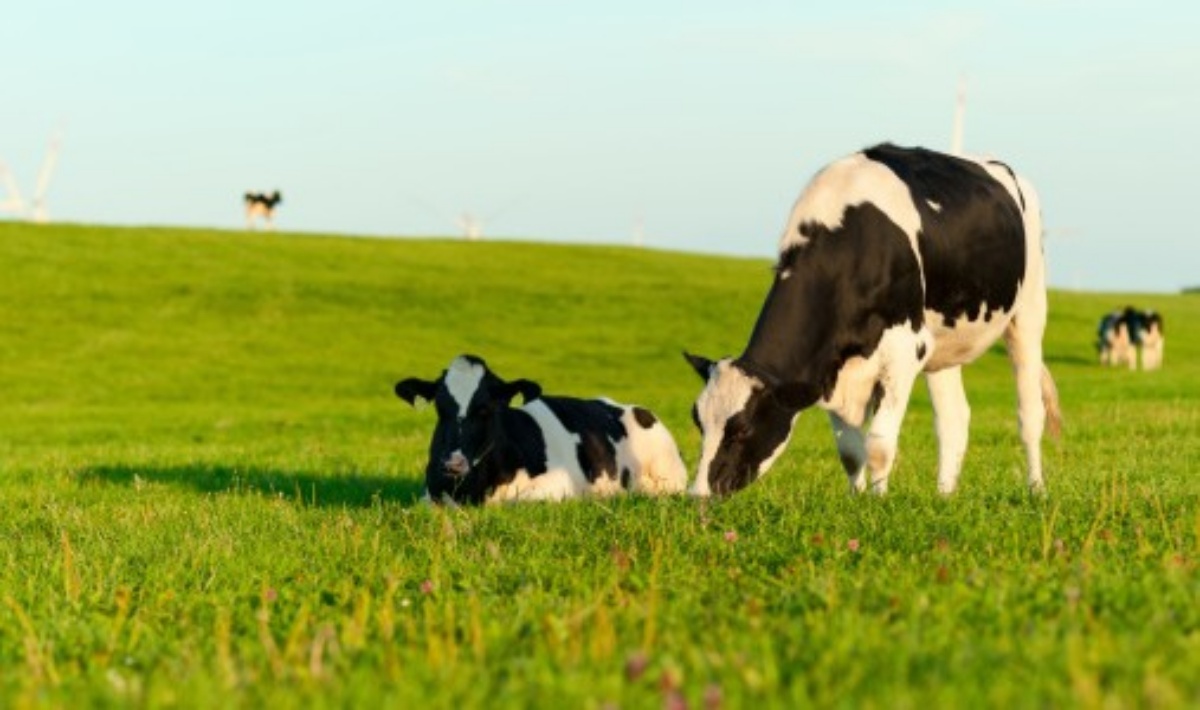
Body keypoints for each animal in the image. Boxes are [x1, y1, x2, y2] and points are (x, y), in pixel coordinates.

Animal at [686, 143, 1060, 496]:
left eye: (742, 428)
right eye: (698, 422)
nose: (698, 494)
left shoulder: (905, 349)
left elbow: (879, 444)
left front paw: (879, 501)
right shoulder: (830, 363)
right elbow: (851, 452)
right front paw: (857, 498)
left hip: (1028, 312)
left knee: (1030, 414)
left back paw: (1036, 489)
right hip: (943, 344)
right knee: (953, 419)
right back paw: (944, 496)